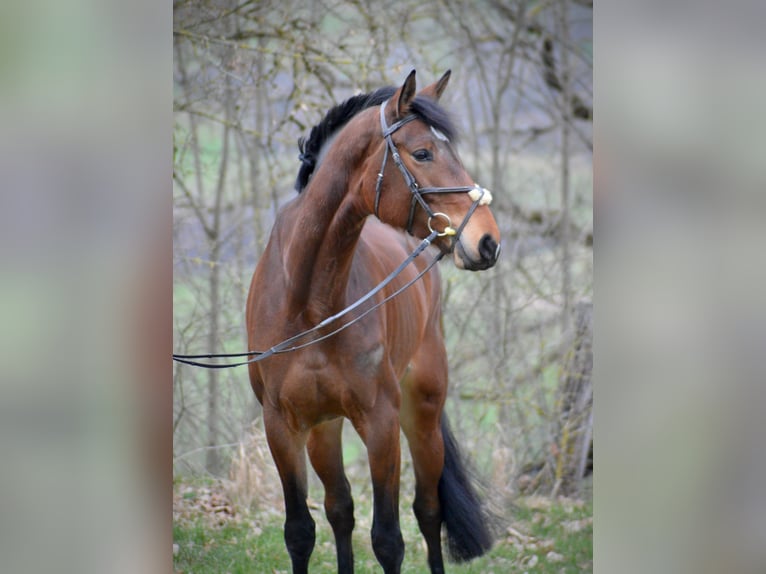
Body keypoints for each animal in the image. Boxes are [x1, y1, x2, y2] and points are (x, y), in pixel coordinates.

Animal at [246, 70, 498, 572]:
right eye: (423, 153)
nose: (487, 241)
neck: (310, 304)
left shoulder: (381, 423)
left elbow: (388, 539)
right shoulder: (283, 426)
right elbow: (301, 531)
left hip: (421, 414)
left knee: (428, 510)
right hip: (324, 429)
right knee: (340, 509)